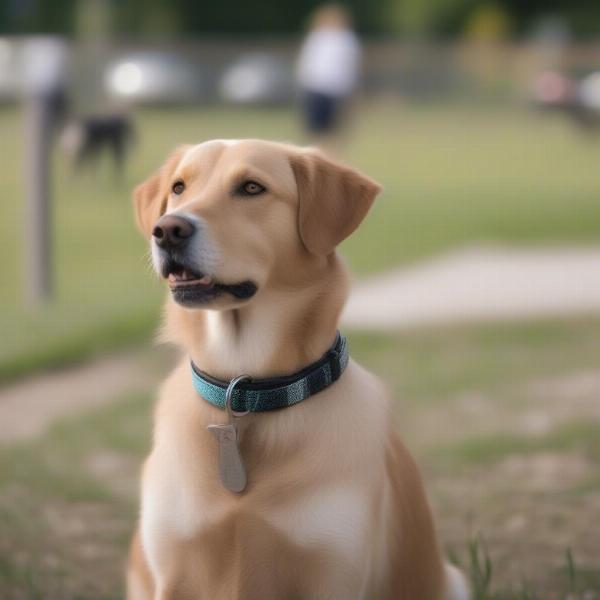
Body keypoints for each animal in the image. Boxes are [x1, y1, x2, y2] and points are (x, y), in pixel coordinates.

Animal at [126, 138, 468, 596]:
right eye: (179, 187)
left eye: (252, 188)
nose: (167, 229)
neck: (245, 389)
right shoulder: (174, 570)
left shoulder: (332, 571)